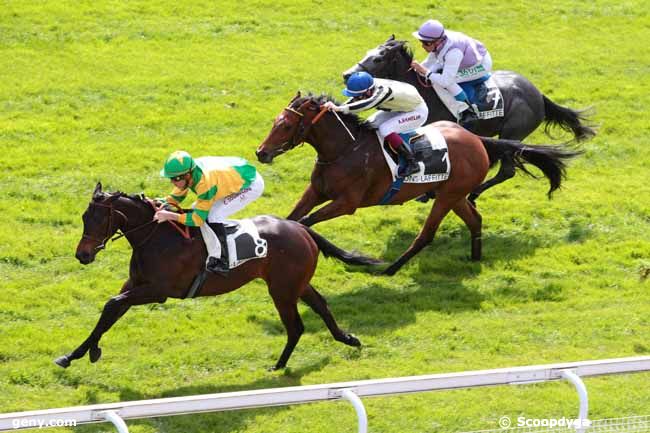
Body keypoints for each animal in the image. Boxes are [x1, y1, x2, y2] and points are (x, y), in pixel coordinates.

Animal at [57, 183, 380, 372]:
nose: (82, 255)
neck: (155, 237)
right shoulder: (135, 285)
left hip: (282, 289)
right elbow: (111, 311)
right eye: (85, 218)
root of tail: (301, 228)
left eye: (99, 219)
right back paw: (347, 339)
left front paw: (86, 352)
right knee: (321, 305)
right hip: (295, 284)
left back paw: (278, 366)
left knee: (296, 325)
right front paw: (78, 353)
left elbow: (112, 304)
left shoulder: (157, 290)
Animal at [256, 93, 580, 276]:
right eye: (274, 121)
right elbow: (293, 217)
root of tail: (477, 139)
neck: (343, 150)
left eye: (286, 125)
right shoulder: (316, 191)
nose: (261, 153)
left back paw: (390, 270)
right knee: (475, 219)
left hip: (447, 196)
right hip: (455, 195)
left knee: (426, 235)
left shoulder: (347, 203)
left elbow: (306, 221)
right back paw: (475, 258)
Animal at [342, 35, 596, 202]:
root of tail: (538, 94)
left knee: (507, 170)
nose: (347, 75)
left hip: (514, 131)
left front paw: (428, 191)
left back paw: (473, 193)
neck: (423, 92)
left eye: (378, 58)